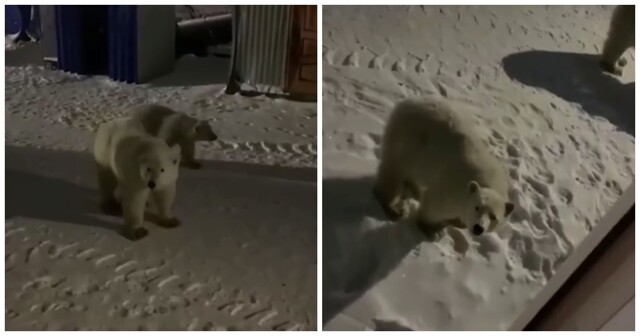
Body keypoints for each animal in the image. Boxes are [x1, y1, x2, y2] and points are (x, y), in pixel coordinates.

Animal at [376, 96, 516, 239]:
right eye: (477, 207)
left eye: (494, 217)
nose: (478, 228)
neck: (487, 181)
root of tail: (408, 102)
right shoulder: (452, 189)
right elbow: (435, 206)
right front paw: (432, 230)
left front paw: (459, 222)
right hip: (409, 140)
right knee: (394, 171)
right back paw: (394, 208)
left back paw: (416, 191)